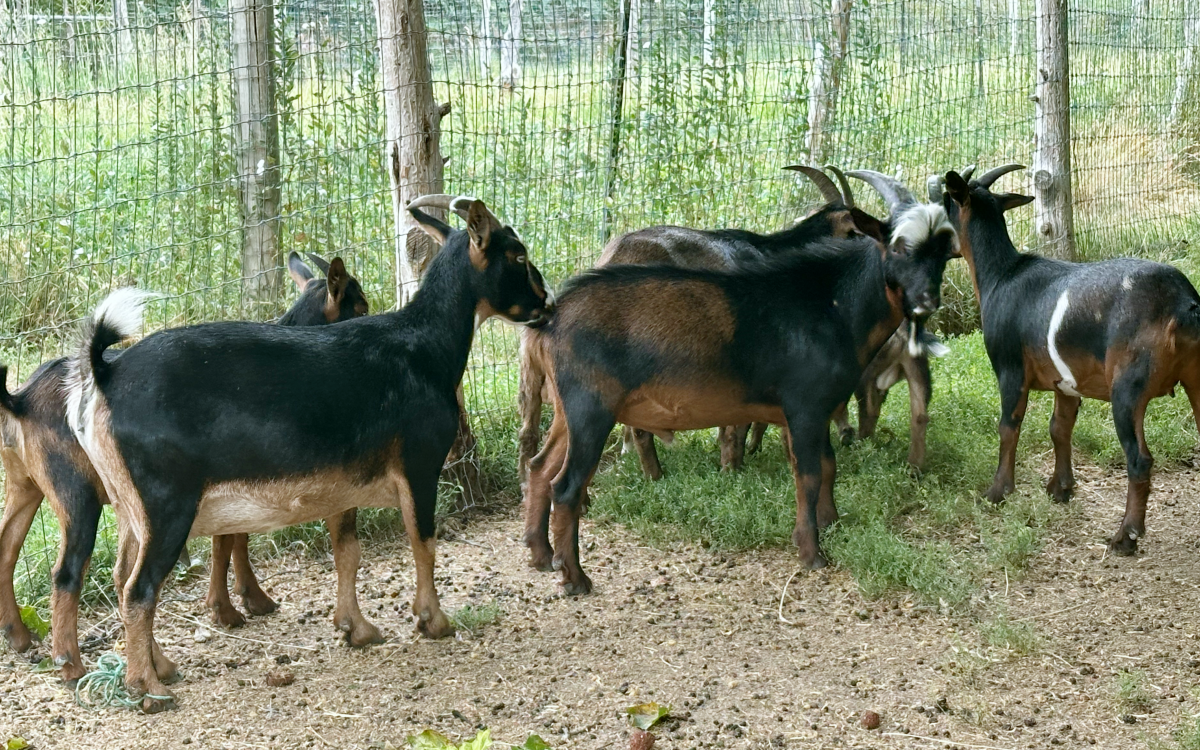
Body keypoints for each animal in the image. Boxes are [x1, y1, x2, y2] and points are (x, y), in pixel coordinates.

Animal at [0, 253, 368, 682]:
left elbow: (231, 538)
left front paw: (240, 602)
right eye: (360, 307)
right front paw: (235, 606)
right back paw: (74, 665)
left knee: (10, 546)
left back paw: (20, 636)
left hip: (27, 484)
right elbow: (234, 539)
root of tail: (21, 399)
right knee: (72, 574)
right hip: (79, 493)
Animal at [62, 196, 550, 711]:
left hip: (129, 505)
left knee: (122, 578)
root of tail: (105, 375)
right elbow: (424, 542)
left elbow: (348, 553)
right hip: (167, 502)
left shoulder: (343, 484)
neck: (422, 348)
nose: (546, 302)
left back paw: (163, 667)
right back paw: (150, 688)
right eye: (517, 254)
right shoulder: (419, 465)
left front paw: (358, 629)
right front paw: (433, 621)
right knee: (139, 590)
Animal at [521, 214, 958, 594]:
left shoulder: (813, 410)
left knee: (540, 467)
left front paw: (831, 522)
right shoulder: (804, 406)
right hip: (591, 409)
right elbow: (809, 474)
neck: (832, 305)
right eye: (898, 248)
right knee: (566, 487)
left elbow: (828, 466)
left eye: (942, 255)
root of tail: (550, 321)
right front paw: (812, 553)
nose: (927, 300)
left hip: (566, 413)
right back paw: (576, 579)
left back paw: (542, 557)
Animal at [941, 164, 1200, 555]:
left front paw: (998, 492)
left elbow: (1008, 427)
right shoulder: (1066, 384)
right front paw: (1059, 489)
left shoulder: (1010, 370)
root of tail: (1182, 303)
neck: (1002, 274)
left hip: (1128, 388)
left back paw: (1126, 536)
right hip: (1196, 376)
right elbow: (1059, 428)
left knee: (1139, 459)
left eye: (942, 204)